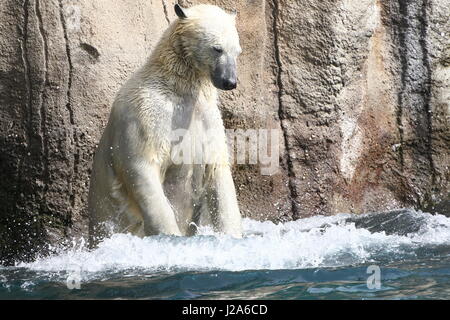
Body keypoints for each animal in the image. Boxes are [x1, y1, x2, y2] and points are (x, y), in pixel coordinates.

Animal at [88, 3, 243, 244]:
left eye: (237, 51)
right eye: (217, 48)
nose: (229, 82)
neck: (179, 86)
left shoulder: (207, 118)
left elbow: (218, 172)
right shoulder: (147, 112)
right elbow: (142, 163)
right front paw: (169, 235)